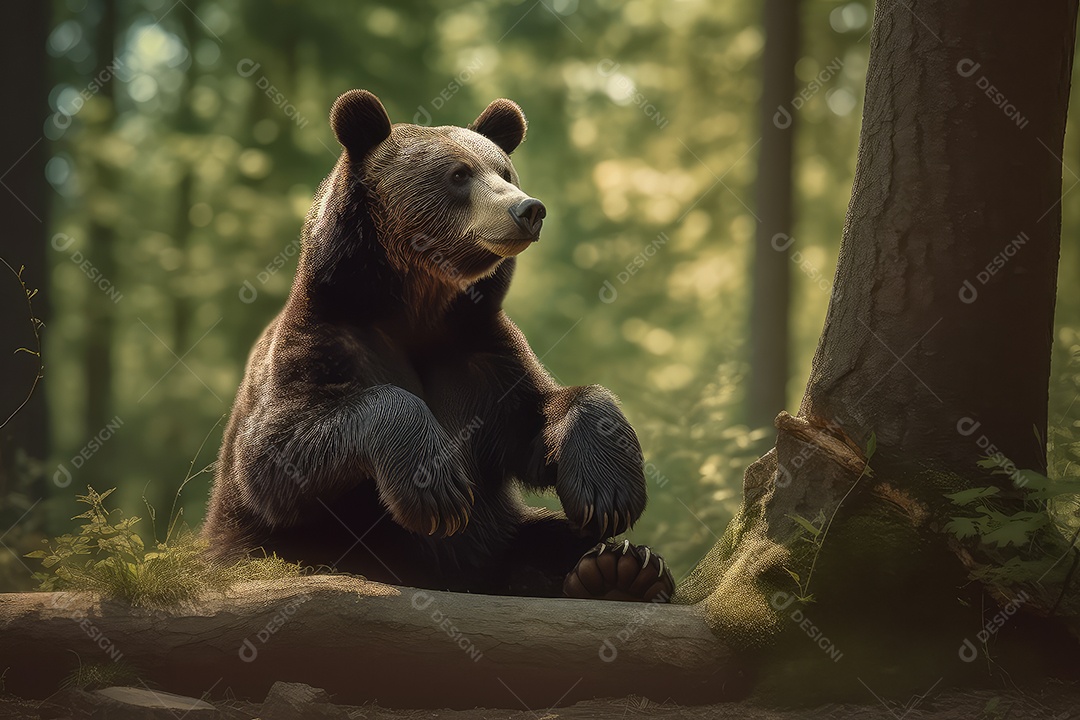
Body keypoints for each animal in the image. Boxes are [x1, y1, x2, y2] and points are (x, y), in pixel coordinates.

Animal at [202, 89, 674, 601]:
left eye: (504, 171)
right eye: (459, 174)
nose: (528, 209)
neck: (418, 304)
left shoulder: (478, 354)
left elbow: (540, 414)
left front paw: (610, 492)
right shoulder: (326, 341)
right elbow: (276, 452)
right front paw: (436, 488)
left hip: (498, 535)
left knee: (542, 537)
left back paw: (622, 568)